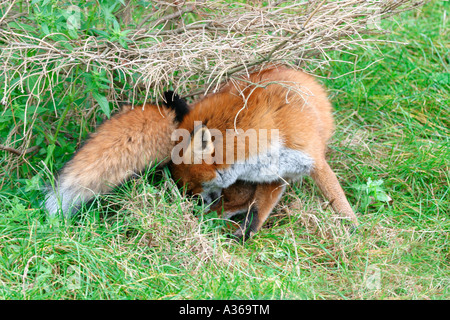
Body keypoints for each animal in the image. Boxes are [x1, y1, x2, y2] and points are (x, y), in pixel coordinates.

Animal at [171, 64, 360, 240]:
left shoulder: (312, 160)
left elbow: (338, 199)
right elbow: (256, 212)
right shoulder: (275, 175)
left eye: (189, 187)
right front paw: (244, 235)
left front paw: (353, 229)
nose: (191, 203)